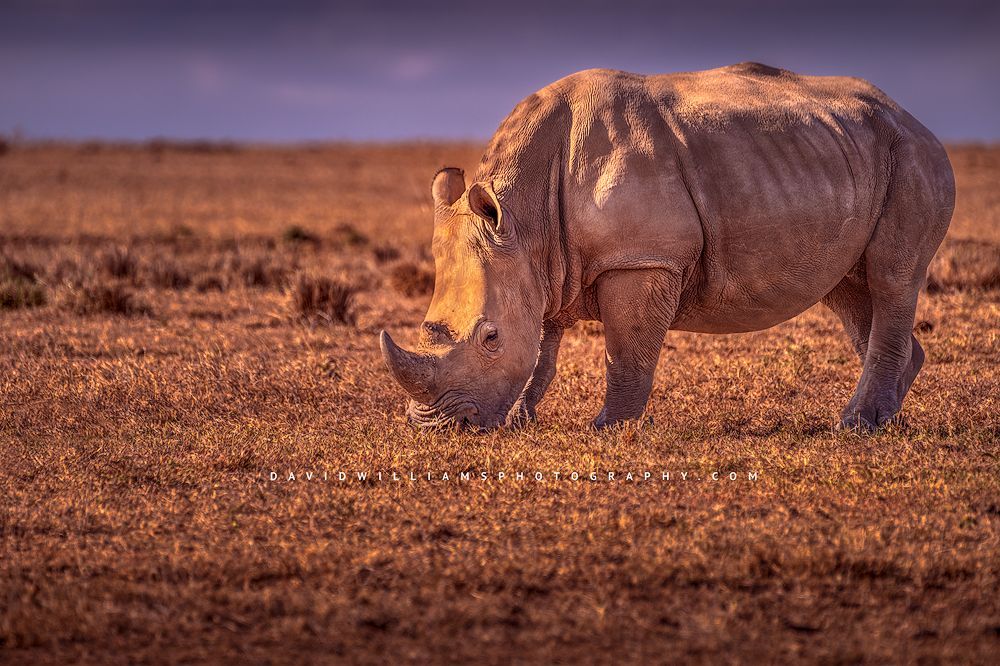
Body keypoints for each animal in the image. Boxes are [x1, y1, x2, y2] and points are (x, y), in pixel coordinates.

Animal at [379, 63, 955, 431]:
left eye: (490, 338)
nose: (436, 427)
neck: (525, 216)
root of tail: (915, 120)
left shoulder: (642, 259)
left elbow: (625, 349)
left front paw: (609, 427)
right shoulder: (541, 264)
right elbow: (544, 345)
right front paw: (522, 418)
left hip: (912, 157)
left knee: (892, 277)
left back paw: (856, 425)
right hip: (846, 154)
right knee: (852, 293)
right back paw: (884, 417)